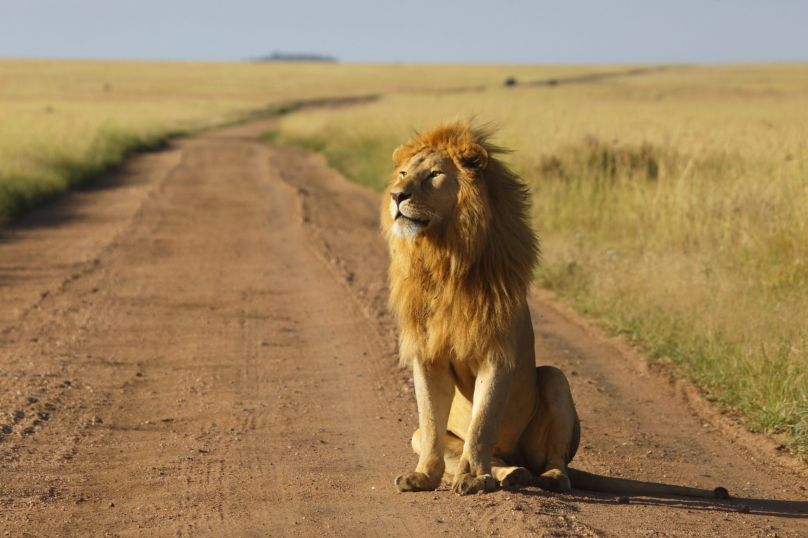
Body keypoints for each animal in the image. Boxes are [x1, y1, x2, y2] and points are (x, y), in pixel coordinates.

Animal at [382, 118, 728, 498]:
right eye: (402, 173)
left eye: (433, 175)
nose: (396, 196)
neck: (445, 257)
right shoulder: (427, 355)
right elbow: (431, 423)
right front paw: (424, 476)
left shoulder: (498, 352)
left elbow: (483, 422)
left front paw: (473, 477)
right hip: (429, 435)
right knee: (463, 449)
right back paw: (509, 474)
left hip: (555, 379)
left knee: (553, 458)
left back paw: (546, 477)